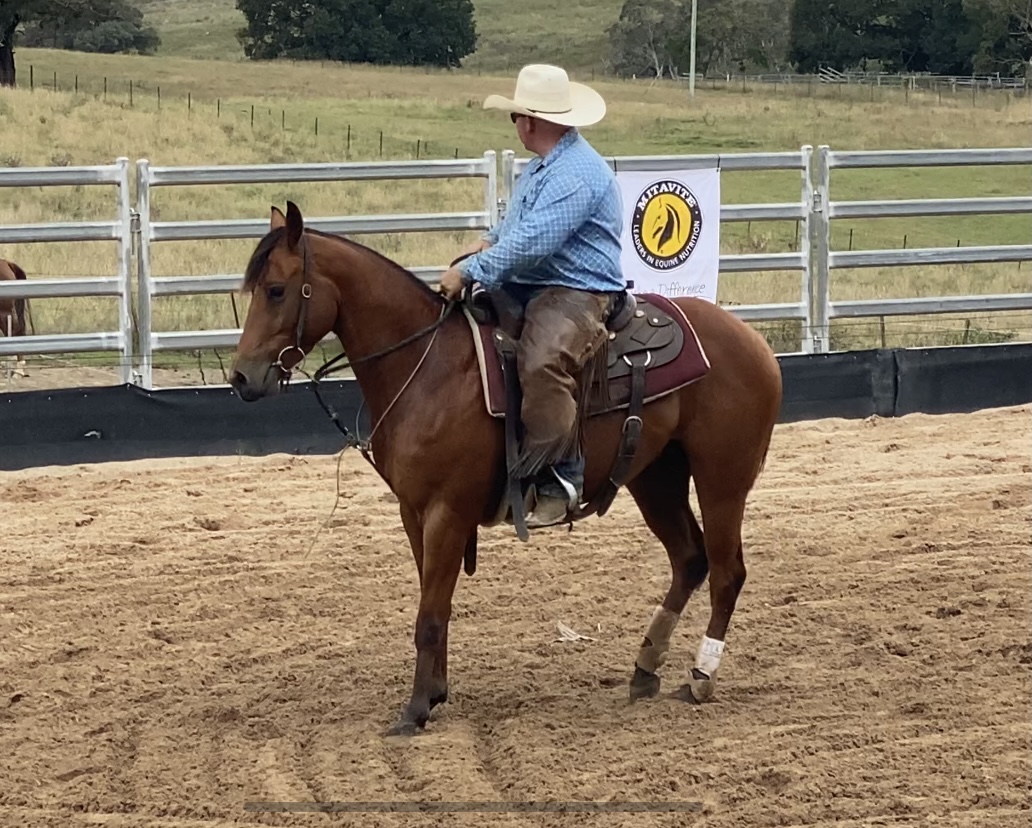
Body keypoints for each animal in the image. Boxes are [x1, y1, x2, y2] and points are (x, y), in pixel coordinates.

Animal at [229, 202, 783, 736]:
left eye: (276, 290)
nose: (240, 378)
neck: (428, 367)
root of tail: (754, 342)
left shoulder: (447, 512)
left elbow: (430, 615)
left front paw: (414, 710)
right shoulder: (413, 511)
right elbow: (435, 604)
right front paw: (435, 693)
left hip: (722, 479)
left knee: (727, 572)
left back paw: (702, 676)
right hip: (656, 478)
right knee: (690, 560)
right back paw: (645, 668)